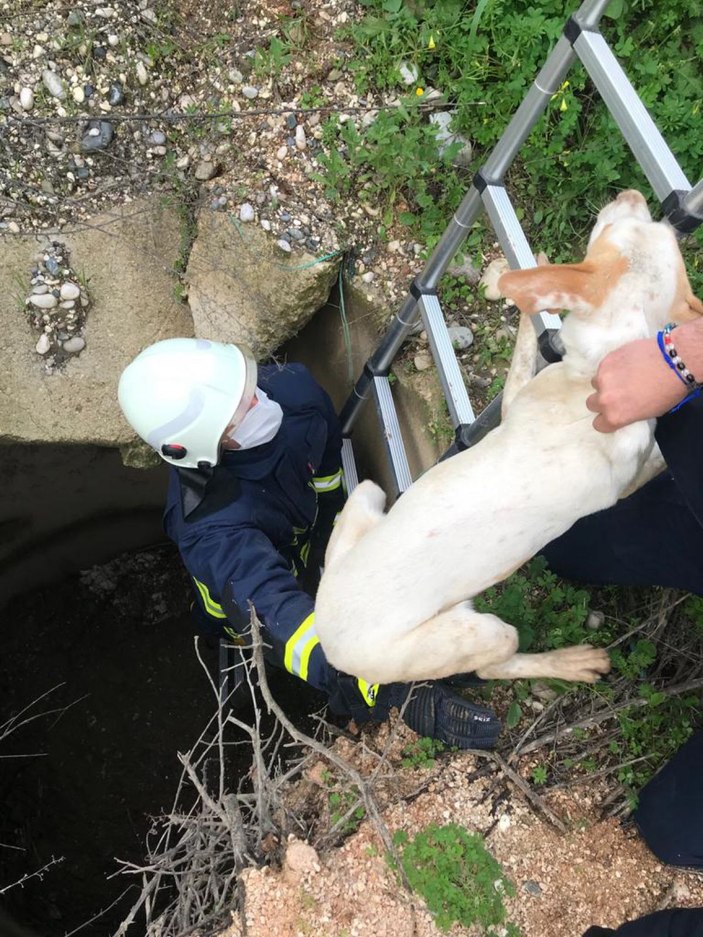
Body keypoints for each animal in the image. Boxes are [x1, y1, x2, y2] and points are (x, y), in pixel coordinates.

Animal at [314, 192, 703, 688]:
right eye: (613, 229)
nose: (630, 194)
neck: (588, 379)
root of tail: (328, 643)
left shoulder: (518, 399)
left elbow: (524, 357)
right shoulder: (623, 479)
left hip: (367, 493)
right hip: (481, 633)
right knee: (491, 667)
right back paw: (570, 662)